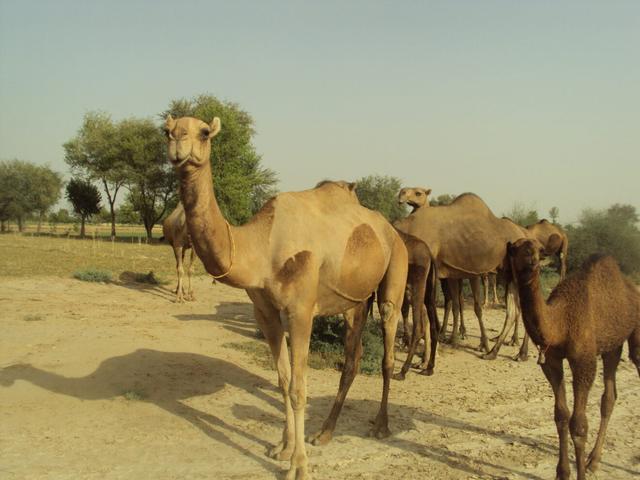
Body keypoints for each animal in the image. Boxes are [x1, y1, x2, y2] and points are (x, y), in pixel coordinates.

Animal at [164, 115, 408, 480]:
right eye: (166, 131)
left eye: (204, 133)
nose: (179, 144)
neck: (261, 246)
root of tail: (391, 227)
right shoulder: (264, 312)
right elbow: (282, 380)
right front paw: (283, 447)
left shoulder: (300, 309)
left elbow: (298, 388)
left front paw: (299, 465)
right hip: (355, 301)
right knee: (352, 358)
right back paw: (324, 433)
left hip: (396, 271)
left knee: (387, 350)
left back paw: (380, 426)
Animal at [506, 237, 640, 480]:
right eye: (516, 249)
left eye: (539, 249)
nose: (532, 261)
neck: (561, 321)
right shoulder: (551, 361)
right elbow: (561, 415)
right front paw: (562, 472)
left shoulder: (583, 361)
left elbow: (578, 424)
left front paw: (579, 475)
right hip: (612, 345)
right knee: (609, 397)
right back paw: (594, 461)